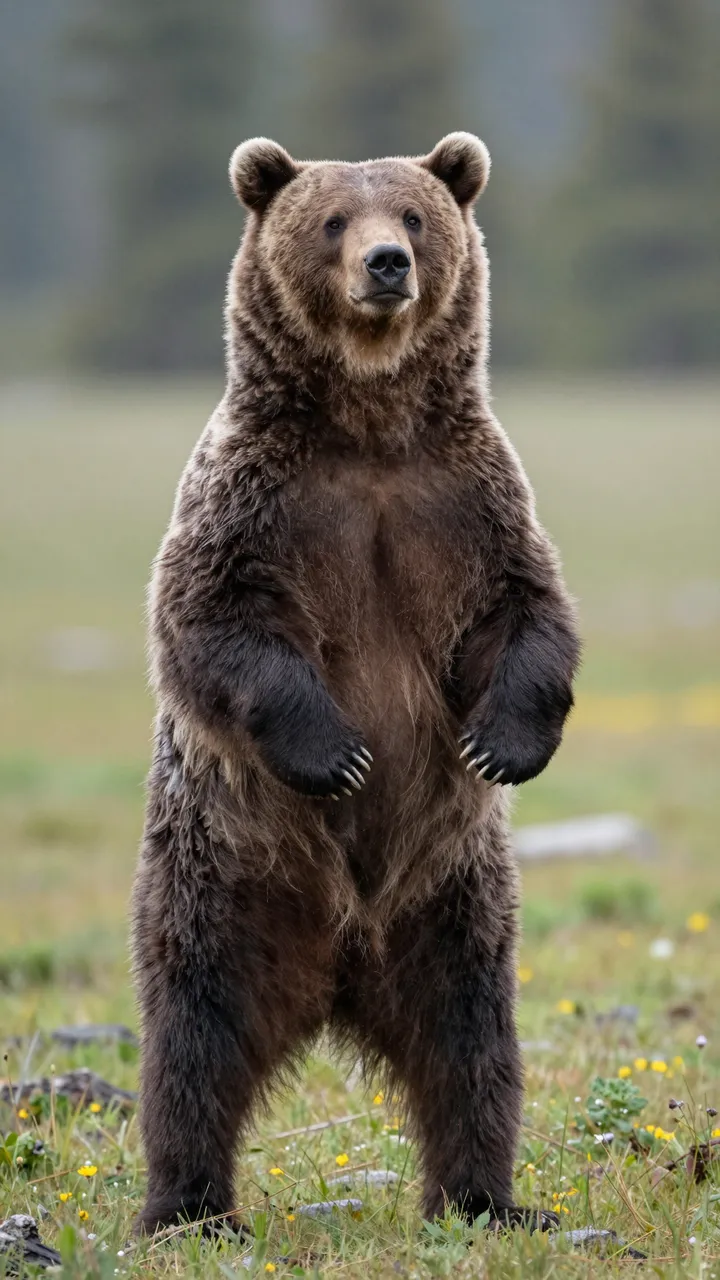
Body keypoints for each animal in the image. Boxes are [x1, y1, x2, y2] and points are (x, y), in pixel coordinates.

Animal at [132, 132, 580, 1236]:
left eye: (414, 216)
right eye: (333, 218)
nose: (387, 263)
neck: (370, 430)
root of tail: (338, 969)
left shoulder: (464, 503)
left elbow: (529, 611)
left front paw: (501, 742)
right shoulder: (253, 502)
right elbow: (212, 622)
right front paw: (336, 754)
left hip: (455, 904)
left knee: (471, 1046)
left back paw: (486, 1198)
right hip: (225, 883)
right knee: (193, 1040)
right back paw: (189, 1207)